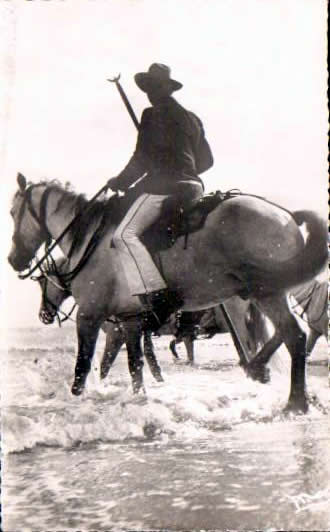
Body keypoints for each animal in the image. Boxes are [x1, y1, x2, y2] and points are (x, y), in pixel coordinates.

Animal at [8, 175, 328, 412]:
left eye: (12, 212)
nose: (13, 260)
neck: (88, 239)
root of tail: (287, 215)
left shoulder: (90, 316)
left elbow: (83, 368)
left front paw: (76, 399)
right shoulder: (130, 322)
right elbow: (135, 366)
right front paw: (140, 399)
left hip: (265, 292)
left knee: (294, 336)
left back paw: (294, 402)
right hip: (264, 292)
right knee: (286, 336)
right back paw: (264, 373)